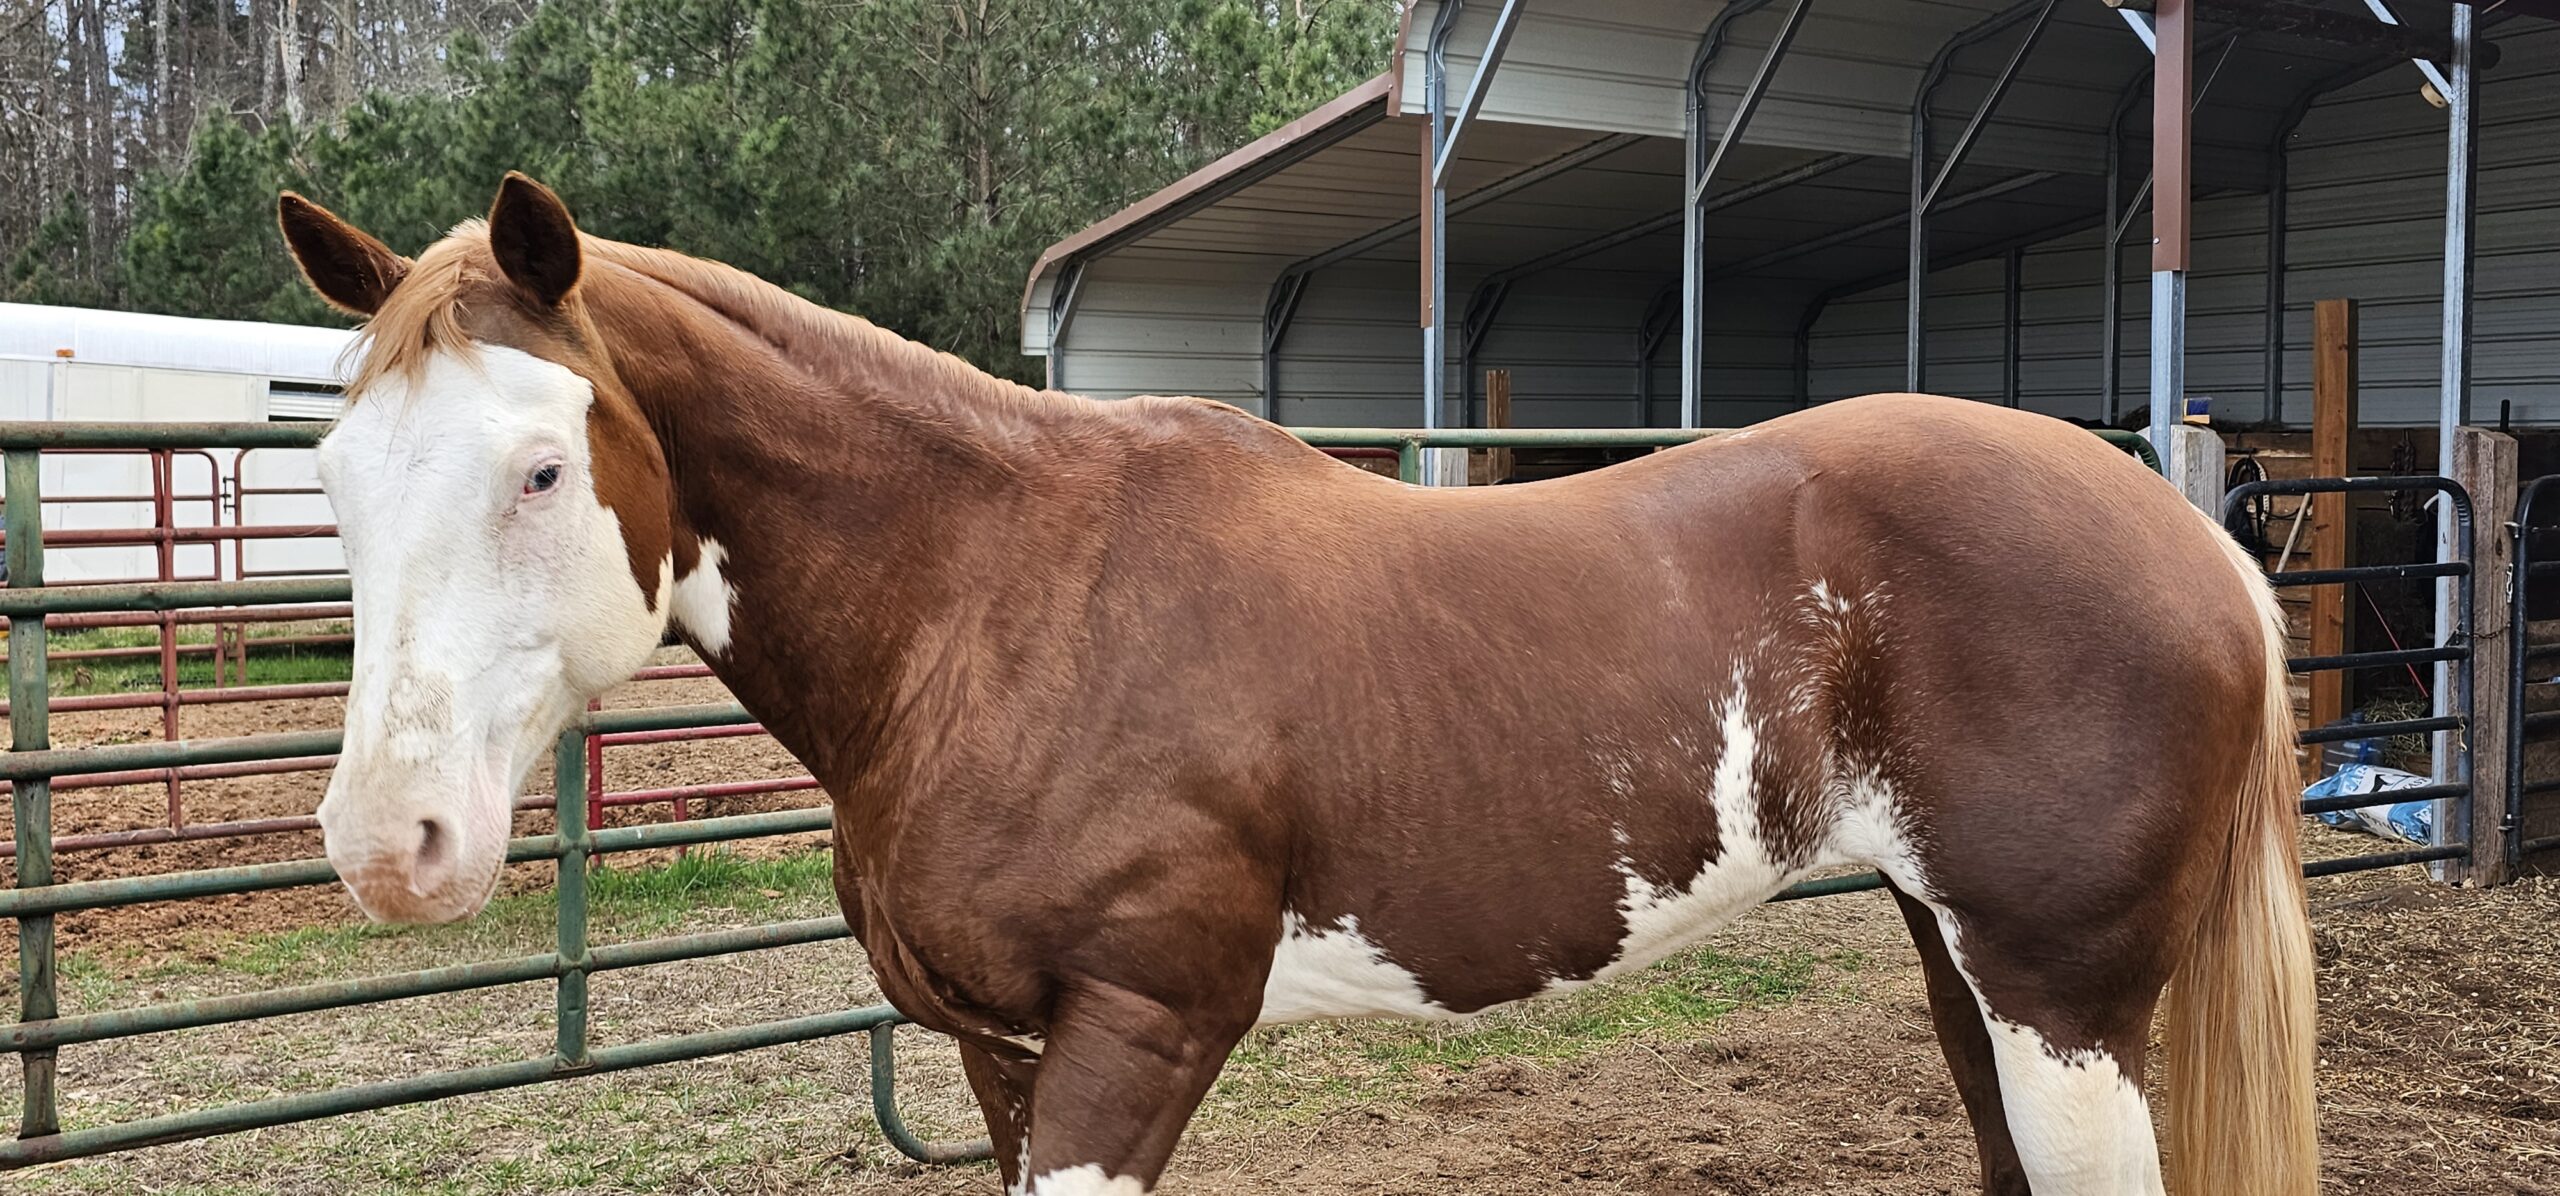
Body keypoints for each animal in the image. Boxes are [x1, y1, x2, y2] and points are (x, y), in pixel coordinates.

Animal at [280, 174, 2316, 1196]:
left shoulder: (1137, 1036)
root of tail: (2188, 534)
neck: (993, 602)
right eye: (338, 472)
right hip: (1964, 966)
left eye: (543, 468)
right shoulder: (1004, 1056)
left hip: (2063, 998)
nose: (390, 845)